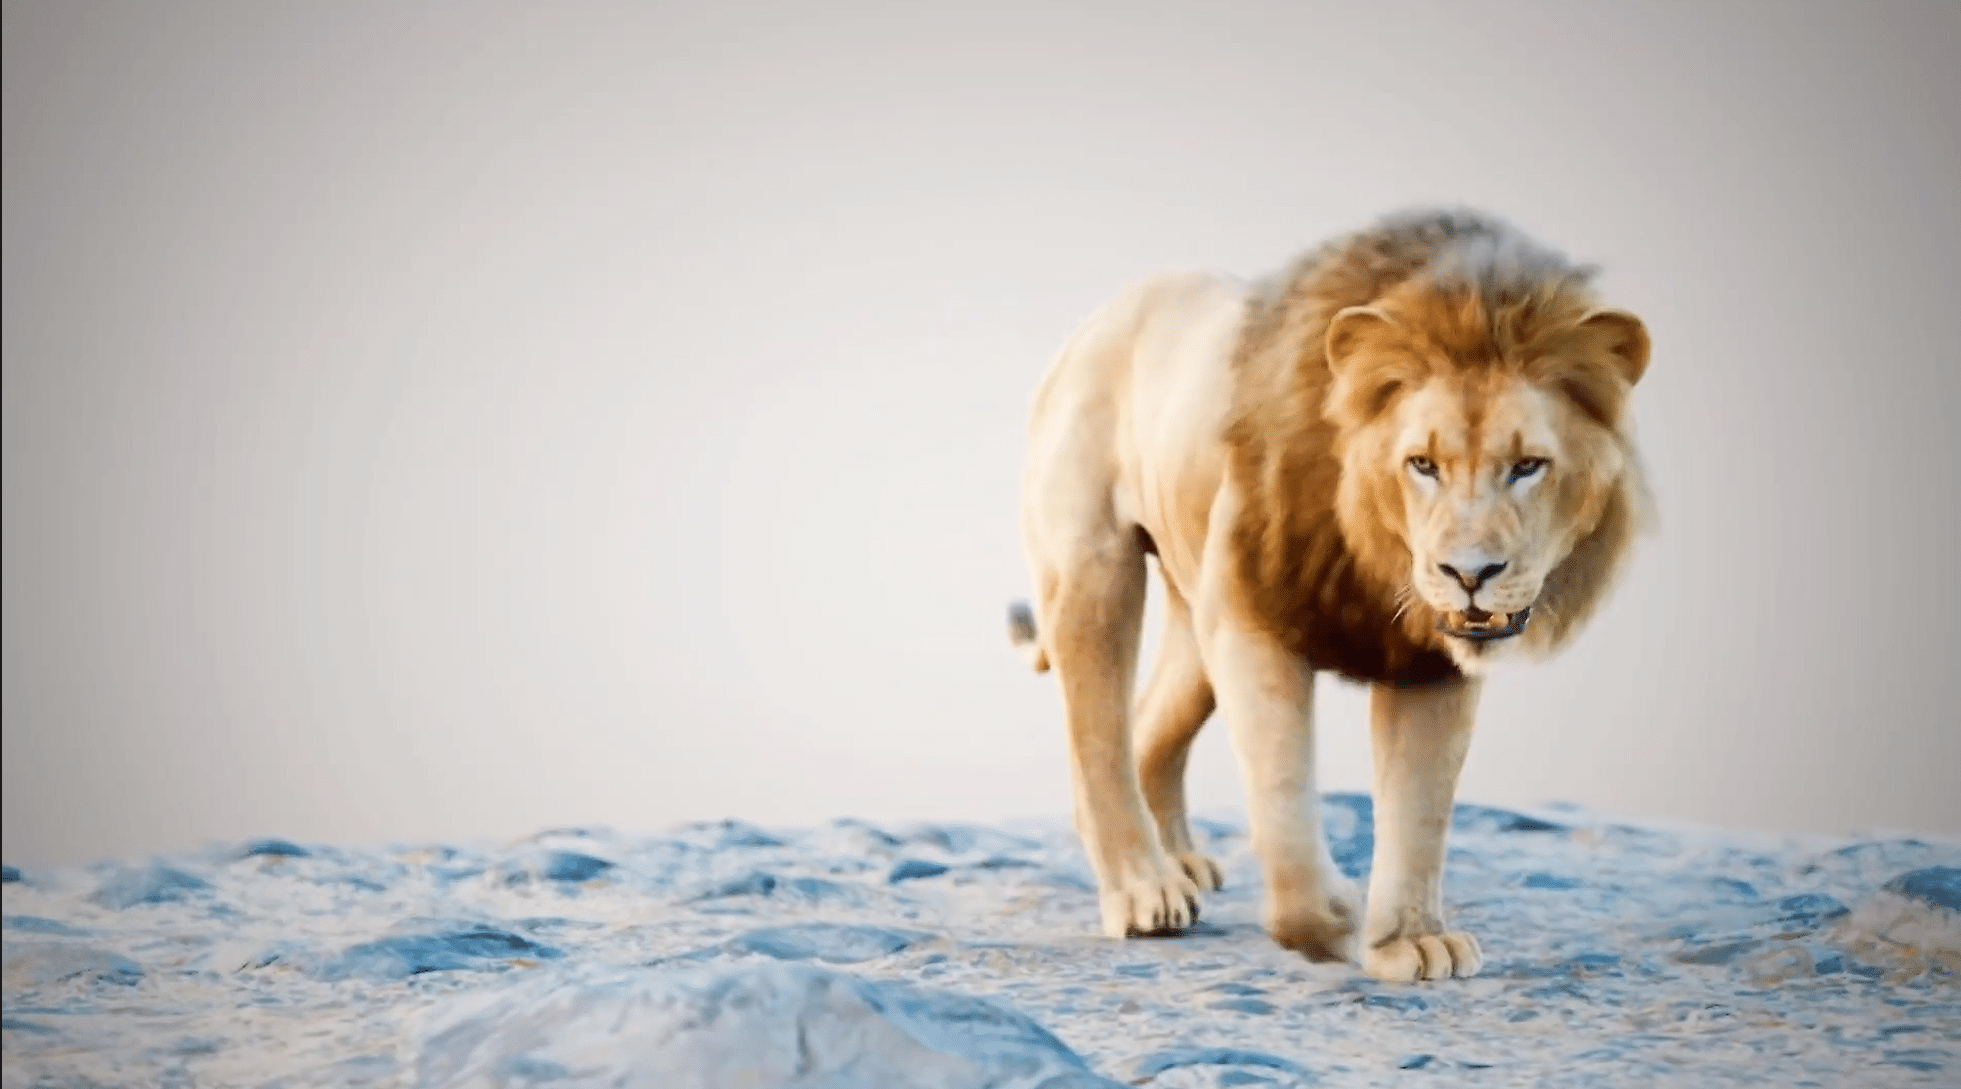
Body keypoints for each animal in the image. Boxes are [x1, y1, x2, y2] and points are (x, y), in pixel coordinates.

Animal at [1007, 207, 1652, 982]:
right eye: (1422, 464)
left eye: (1528, 465)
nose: (1469, 573)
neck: (1377, 554)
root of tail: (1102, 316)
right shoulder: (1253, 618)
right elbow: (1282, 793)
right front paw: (1329, 921)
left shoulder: (1428, 663)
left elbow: (1418, 810)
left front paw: (1411, 940)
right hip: (1094, 568)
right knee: (1096, 733)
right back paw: (1143, 890)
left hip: (1194, 613)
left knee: (1150, 722)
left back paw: (1181, 863)